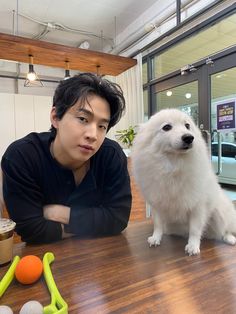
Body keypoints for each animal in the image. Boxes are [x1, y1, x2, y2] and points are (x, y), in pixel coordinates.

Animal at [132, 108, 236, 255]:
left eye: (187, 126)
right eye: (167, 127)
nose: (189, 137)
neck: (173, 164)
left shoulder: (197, 206)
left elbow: (195, 229)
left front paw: (193, 246)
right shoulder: (157, 203)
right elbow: (158, 224)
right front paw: (156, 238)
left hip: (219, 212)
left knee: (225, 229)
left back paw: (229, 238)